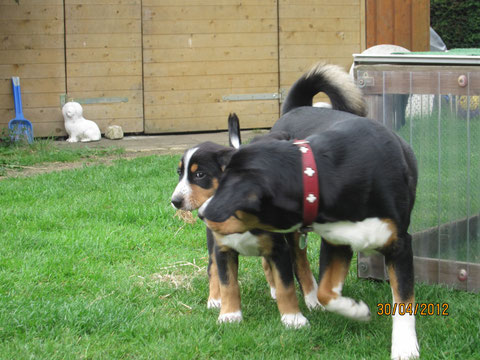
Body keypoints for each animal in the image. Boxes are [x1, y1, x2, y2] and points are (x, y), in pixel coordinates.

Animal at [201, 64, 418, 358]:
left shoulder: (400, 245)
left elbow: (403, 302)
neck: (324, 174)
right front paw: (355, 309)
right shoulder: (336, 242)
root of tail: (297, 107)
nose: (201, 212)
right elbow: (327, 293)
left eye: (230, 197)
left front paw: (405, 346)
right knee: (301, 263)